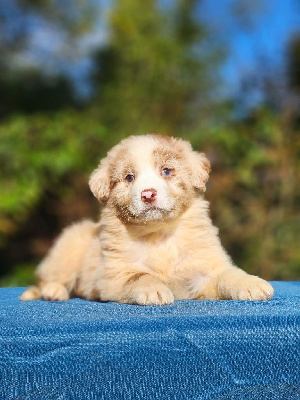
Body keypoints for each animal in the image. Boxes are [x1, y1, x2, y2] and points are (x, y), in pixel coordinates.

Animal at [20, 136, 274, 304]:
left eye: (166, 171)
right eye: (129, 177)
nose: (148, 194)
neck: (158, 234)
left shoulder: (205, 269)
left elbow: (228, 274)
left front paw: (252, 284)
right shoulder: (113, 275)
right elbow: (139, 275)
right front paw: (154, 290)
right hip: (69, 246)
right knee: (48, 278)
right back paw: (53, 291)